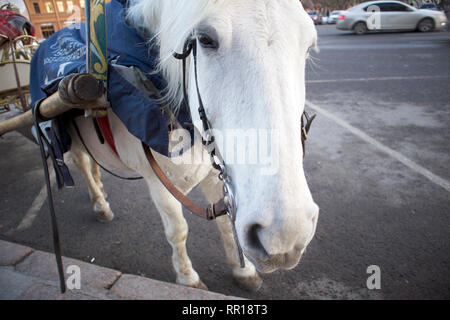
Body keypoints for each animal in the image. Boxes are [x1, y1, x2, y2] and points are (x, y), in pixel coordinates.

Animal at [67, 0, 320, 290]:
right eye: (206, 39)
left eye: (309, 46)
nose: (284, 235)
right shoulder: (159, 184)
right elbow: (178, 231)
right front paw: (187, 277)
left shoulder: (215, 174)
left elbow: (226, 225)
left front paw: (242, 270)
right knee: (82, 163)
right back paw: (99, 203)